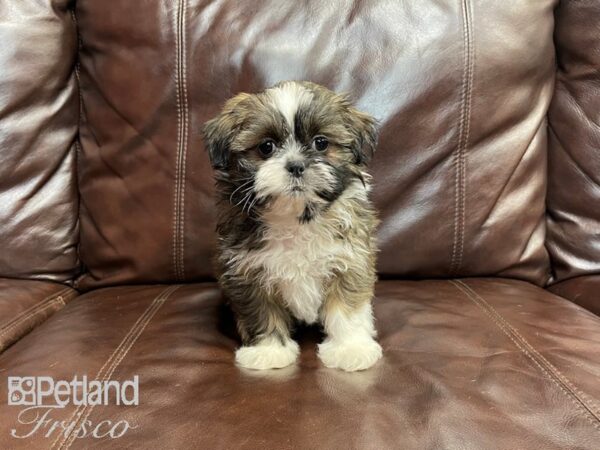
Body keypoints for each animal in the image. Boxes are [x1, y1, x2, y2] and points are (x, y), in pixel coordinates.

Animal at [204, 81, 382, 372]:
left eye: (321, 143)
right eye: (266, 147)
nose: (296, 165)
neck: (295, 218)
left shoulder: (349, 260)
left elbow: (347, 308)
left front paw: (350, 348)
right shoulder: (247, 271)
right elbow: (261, 311)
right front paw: (269, 351)